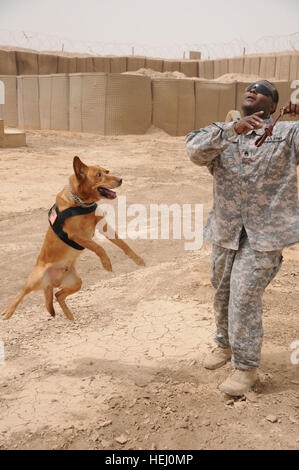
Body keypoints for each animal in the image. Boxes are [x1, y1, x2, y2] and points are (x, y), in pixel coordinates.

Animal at [2, 156, 145, 322]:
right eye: (99, 175)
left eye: (106, 171)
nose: (121, 180)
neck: (81, 203)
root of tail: (51, 282)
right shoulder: (76, 235)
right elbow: (98, 247)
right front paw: (106, 263)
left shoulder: (103, 226)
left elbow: (123, 243)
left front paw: (137, 259)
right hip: (35, 279)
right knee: (22, 293)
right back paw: (8, 311)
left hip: (76, 283)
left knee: (58, 295)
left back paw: (69, 315)